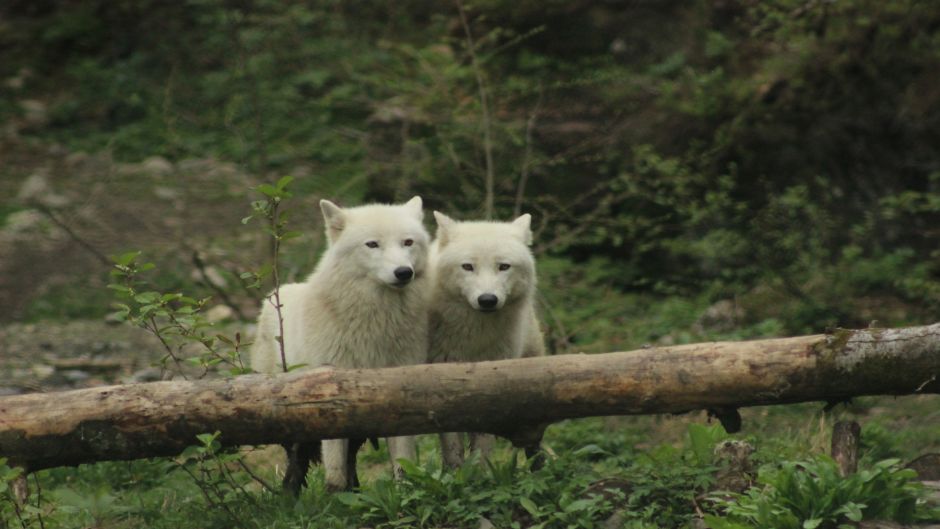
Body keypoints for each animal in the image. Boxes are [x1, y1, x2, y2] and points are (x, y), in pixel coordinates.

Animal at [251, 196, 430, 492]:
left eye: (408, 242)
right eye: (372, 244)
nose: (404, 272)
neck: (376, 321)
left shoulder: (400, 395)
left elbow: (403, 464)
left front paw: (406, 493)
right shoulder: (330, 397)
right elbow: (333, 471)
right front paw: (334, 497)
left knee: (351, 460)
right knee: (296, 464)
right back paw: (290, 497)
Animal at [428, 212, 546, 468]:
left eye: (503, 267)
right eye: (467, 267)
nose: (487, 300)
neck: (474, 334)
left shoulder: (492, 387)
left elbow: (482, 447)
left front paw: (479, 472)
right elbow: (452, 448)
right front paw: (455, 473)